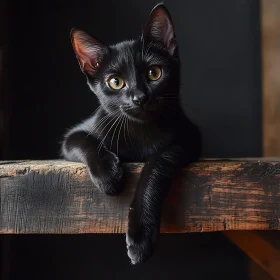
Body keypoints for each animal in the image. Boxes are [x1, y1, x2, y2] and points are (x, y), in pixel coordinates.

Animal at [61, 3, 201, 264]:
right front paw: (108, 176)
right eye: (115, 82)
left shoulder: (190, 138)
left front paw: (140, 238)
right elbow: (83, 140)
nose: (139, 97)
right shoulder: (73, 136)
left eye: (154, 73)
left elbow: (158, 162)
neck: (139, 130)